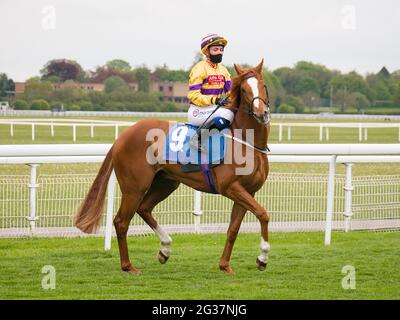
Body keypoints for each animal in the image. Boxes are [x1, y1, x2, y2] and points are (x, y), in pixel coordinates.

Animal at [74, 60, 272, 276]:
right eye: (244, 89)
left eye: (263, 85)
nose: (262, 113)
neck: (246, 141)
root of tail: (122, 137)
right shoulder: (231, 187)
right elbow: (263, 214)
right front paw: (262, 258)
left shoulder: (248, 191)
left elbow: (234, 229)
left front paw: (225, 265)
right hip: (134, 188)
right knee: (121, 221)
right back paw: (128, 265)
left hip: (165, 183)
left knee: (144, 209)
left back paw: (165, 249)